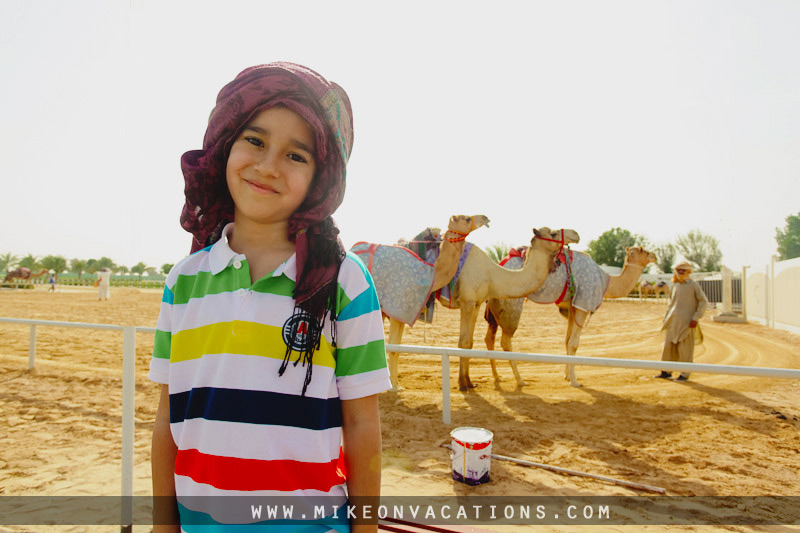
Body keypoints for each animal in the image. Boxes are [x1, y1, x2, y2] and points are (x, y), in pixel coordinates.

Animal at [351, 214, 490, 390]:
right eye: (465, 218)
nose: (485, 218)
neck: (429, 273)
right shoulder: (398, 309)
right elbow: (393, 347)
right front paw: (395, 387)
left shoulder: (401, 313)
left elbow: (394, 347)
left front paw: (394, 384)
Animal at [437, 227, 581, 391]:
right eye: (553, 233)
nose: (575, 234)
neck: (492, 275)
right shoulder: (467, 301)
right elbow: (464, 342)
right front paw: (462, 385)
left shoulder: (476, 303)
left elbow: (469, 342)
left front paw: (468, 382)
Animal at [485, 245, 656, 387]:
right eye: (643, 250)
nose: (654, 256)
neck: (607, 281)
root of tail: (500, 264)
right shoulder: (583, 303)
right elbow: (574, 344)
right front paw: (574, 381)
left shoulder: (572, 307)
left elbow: (567, 341)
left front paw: (567, 375)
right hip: (512, 303)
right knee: (506, 341)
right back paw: (520, 380)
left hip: (495, 306)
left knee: (489, 338)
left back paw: (497, 377)